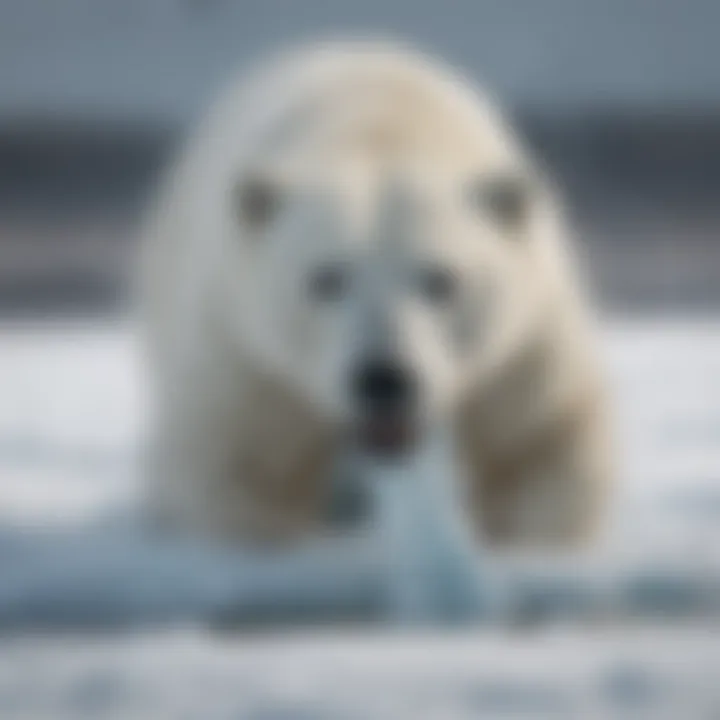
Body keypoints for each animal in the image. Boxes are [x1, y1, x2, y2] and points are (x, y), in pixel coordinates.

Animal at [141, 39, 612, 576]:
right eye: (327, 278)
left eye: (439, 279)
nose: (384, 378)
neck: (379, 130)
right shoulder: (250, 355)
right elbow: (238, 459)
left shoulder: (519, 347)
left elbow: (539, 440)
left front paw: (519, 548)